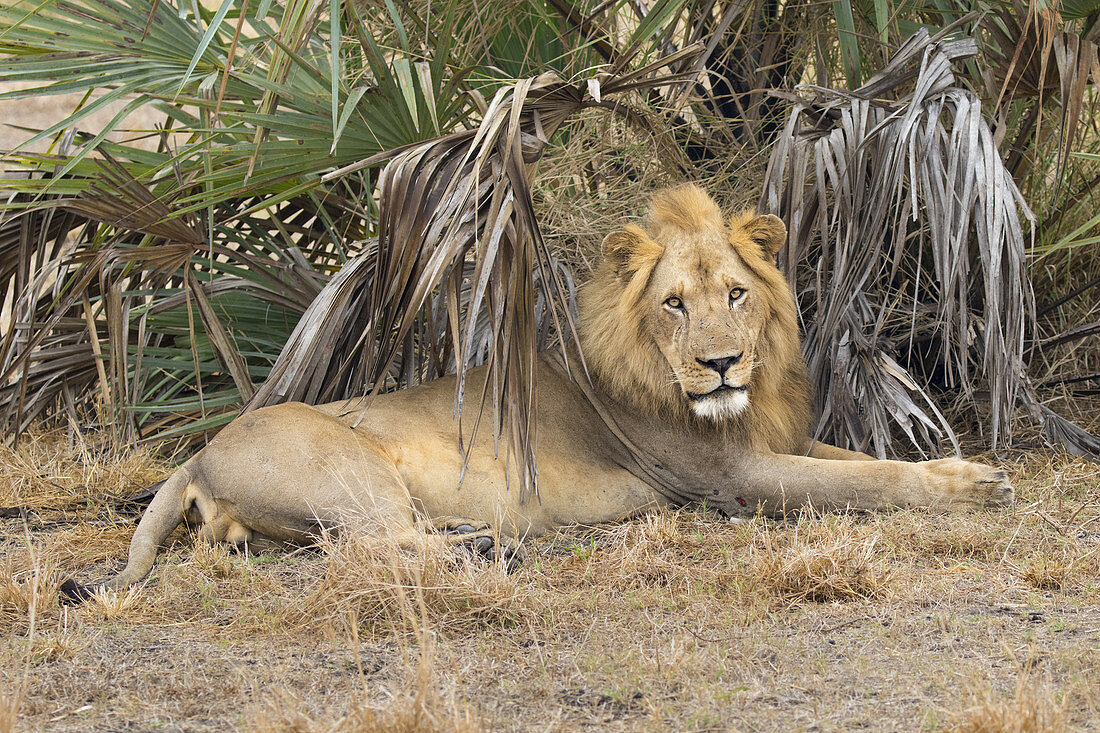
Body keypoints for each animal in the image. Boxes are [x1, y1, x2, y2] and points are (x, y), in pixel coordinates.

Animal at [90, 186, 1007, 589]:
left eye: (737, 293)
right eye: (675, 303)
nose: (720, 365)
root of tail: (199, 454)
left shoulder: (770, 439)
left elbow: (856, 457)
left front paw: (960, 468)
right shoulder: (729, 477)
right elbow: (864, 481)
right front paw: (974, 487)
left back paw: (471, 538)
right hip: (348, 469)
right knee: (372, 545)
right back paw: (488, 548)